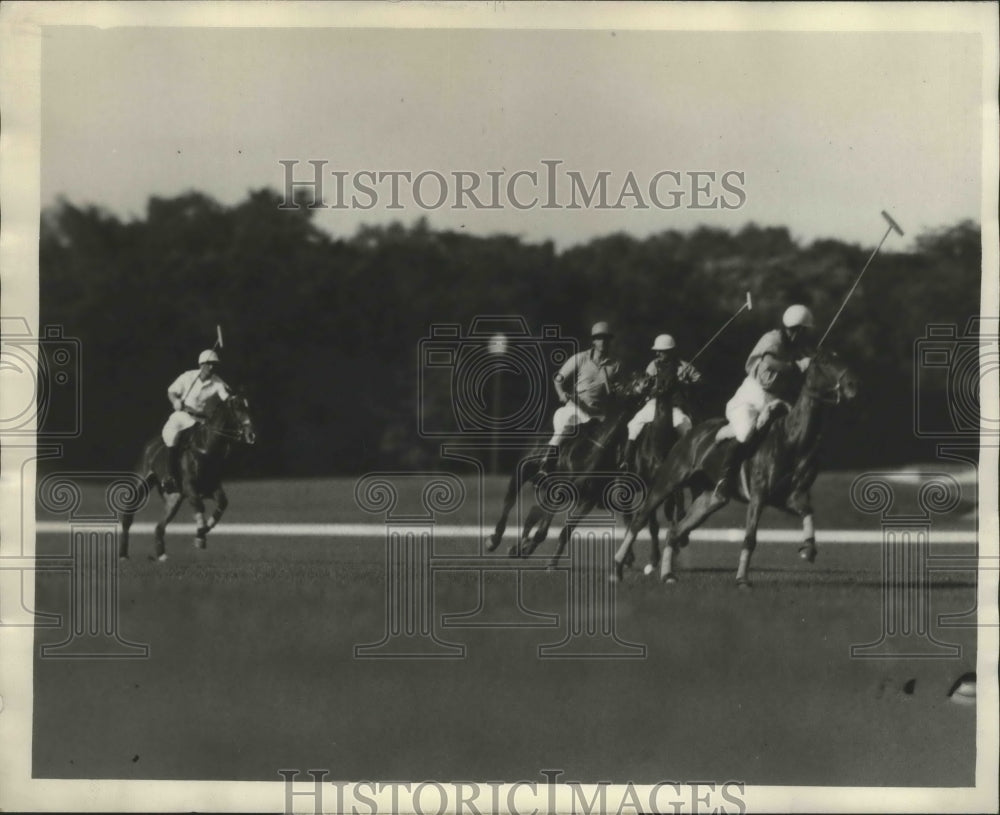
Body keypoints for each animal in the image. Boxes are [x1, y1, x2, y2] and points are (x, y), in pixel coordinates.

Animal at [119, 394, 258, 560]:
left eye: (248, 407)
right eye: (237, 408)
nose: (251, 435)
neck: (206, 447)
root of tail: (150, 445)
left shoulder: (210, 487)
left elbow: (222, 503)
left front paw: (204, 531)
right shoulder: (189, 486)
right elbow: (199, 506)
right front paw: (200, 535)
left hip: (174, 498)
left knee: (159, 526)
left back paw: (161, 555)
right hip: (141, 482)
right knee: (128, 517)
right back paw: (123, 554)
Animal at [612, 350, 856, 588]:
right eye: (825, 361)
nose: (852, 385)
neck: (792, 440)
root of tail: (688, 435)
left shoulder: (788, 497)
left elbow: (807, 510)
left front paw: (808, 548)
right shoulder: (758, 495)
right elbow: (750, 538)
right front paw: (741, 579)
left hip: (709, 498)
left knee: (675, 530)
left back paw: (667, 574)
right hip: (668, 481)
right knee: (640, 520)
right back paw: (618, 569)